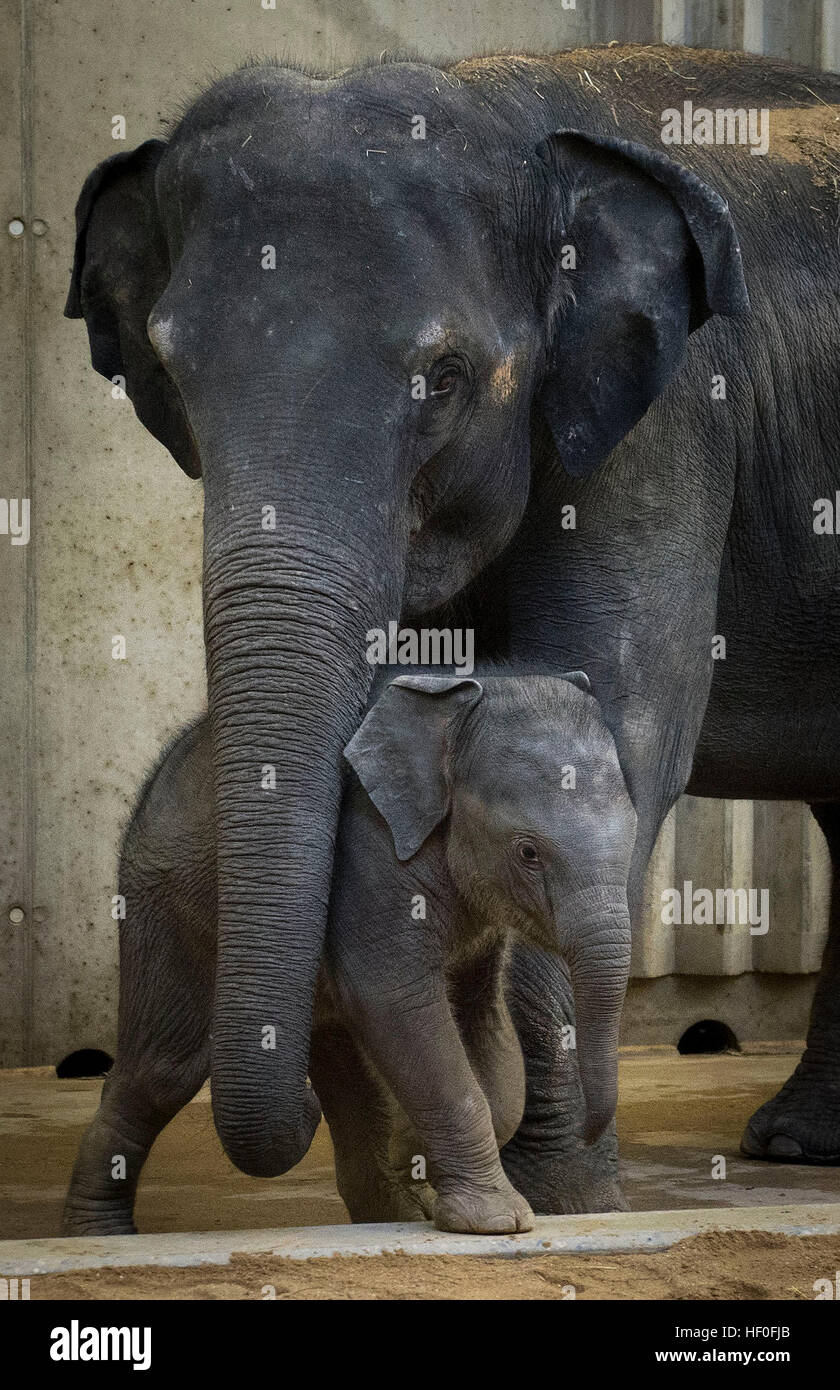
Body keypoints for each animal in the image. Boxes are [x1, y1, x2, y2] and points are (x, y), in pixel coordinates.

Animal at [62, 667, 634, 1234]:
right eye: (529, 853)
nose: (590, 1132)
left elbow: (483, 1023)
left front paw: (420, 1158)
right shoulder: (369, 859)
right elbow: (396, 1001)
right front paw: (498, 1222)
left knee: (345, 1075)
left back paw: (392, 1208)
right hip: (165, 907)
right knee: (162, 1071)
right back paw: (100, 1236)